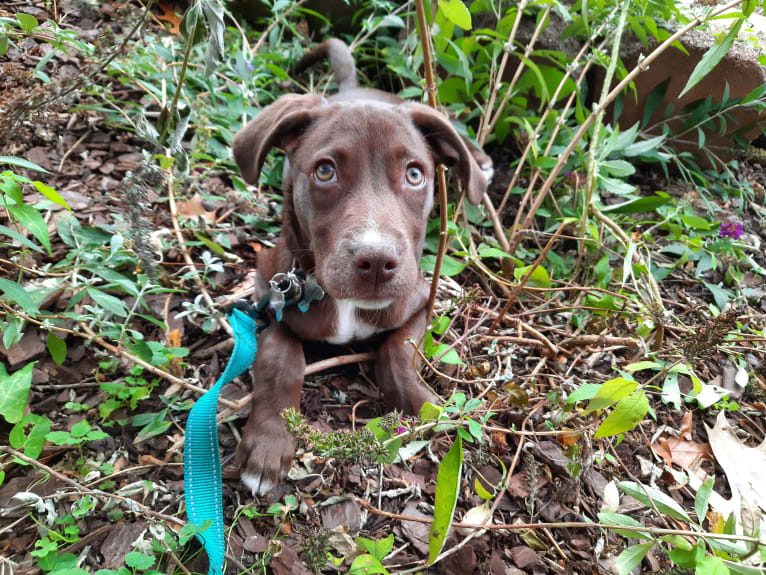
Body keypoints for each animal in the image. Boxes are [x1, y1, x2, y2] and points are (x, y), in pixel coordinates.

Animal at [231, 38, 492, 496]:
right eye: (324, 171)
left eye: (414, 175)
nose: (376, 263)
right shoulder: (271, 300)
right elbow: (281, 363)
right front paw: (267, 444)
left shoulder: (417, 300)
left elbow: (398, 352)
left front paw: (424, 405)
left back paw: (480, 163)